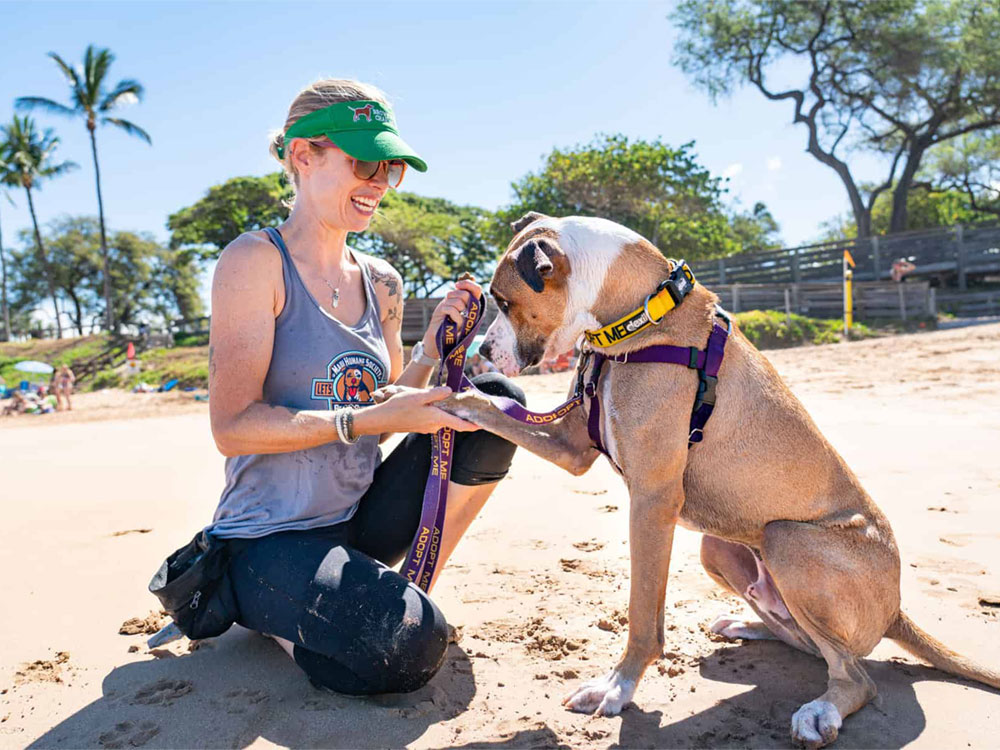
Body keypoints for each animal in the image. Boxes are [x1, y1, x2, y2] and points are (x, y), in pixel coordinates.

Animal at [446, 213, 1000, 750]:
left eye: (503, 301)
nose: (483, 353)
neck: (641, 313)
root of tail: (896, 610)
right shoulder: (572, 446)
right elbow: (490, 408)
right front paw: (437, 394)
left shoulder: (652, 500)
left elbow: (643, 616)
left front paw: (616, 688)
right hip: (719, 547)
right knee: (810, 644)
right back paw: (746, 625)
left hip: (787, 540)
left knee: (855, 674)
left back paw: (820, 712)